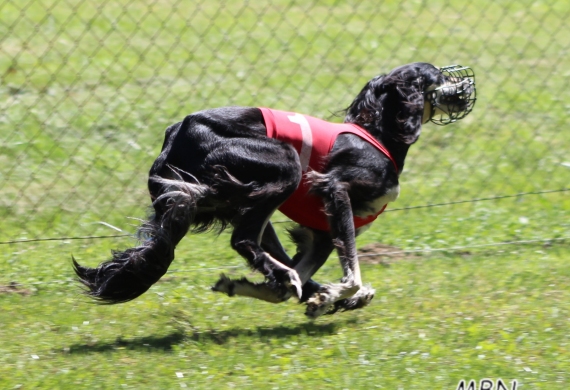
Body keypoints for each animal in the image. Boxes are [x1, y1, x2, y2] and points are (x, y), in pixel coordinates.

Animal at [74, 62, 474, 318]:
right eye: (437, 75)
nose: (467, 86)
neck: (379, 134)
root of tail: (175, 134)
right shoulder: (335, 189)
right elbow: (351, 271)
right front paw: (337, 293)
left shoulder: (320, 234)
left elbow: (313, 270)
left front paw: (320, 296)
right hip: (282, 163)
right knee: (244, 239)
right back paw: (299, 284)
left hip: (236, 195)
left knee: (265, 252)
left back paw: (293, 286)